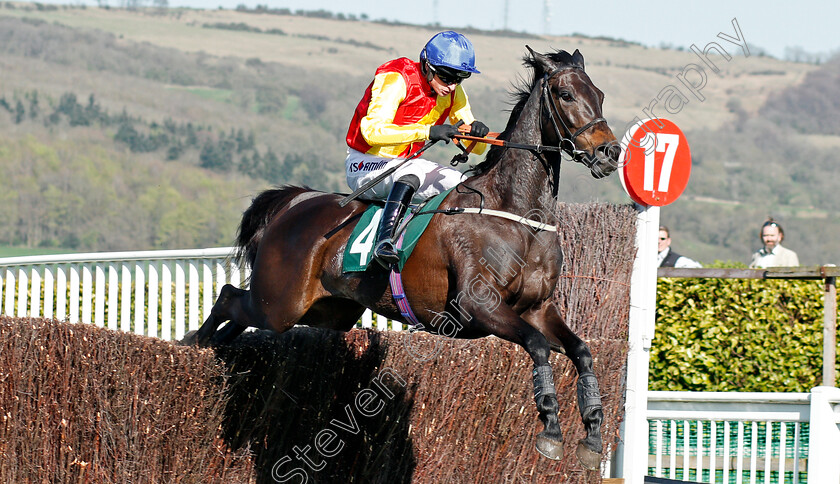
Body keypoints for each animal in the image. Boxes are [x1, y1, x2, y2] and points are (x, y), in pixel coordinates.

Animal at [194, 47, 620, 466]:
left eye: (599, 94)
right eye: (566, 94)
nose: (609, 152)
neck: (515, 214)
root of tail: (296, 203)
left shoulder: (538, 308)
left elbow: (581, 351)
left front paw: (592, 434)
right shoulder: (479, 306)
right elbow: (538, 345)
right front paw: (550, 430)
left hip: (326, 312)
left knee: (244, 315)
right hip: (282, 301)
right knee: (229, 296)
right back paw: (196, 343)